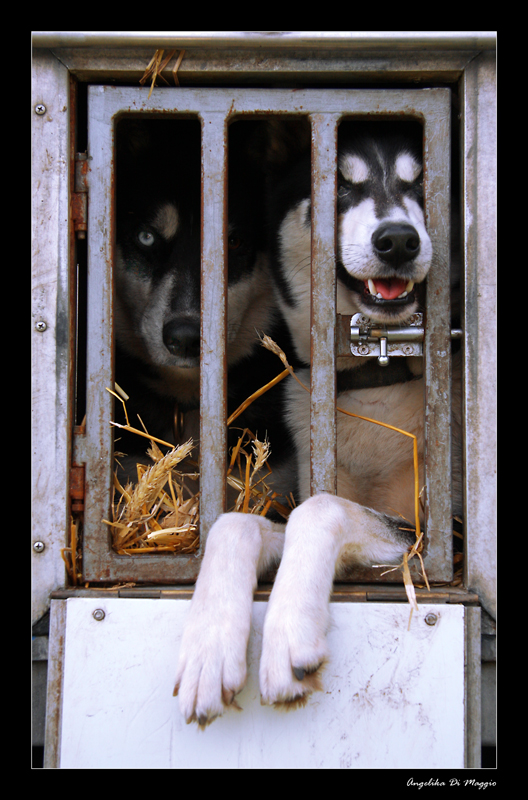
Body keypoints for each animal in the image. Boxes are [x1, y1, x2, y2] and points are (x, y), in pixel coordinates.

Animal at [174, 119, 462, 724]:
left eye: (421, 182)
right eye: (339, 185)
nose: (398, 239)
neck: (372, 385)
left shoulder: (433, 539)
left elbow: (321, 509)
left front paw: (288, 635)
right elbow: (236, 523)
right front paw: (210, 646)